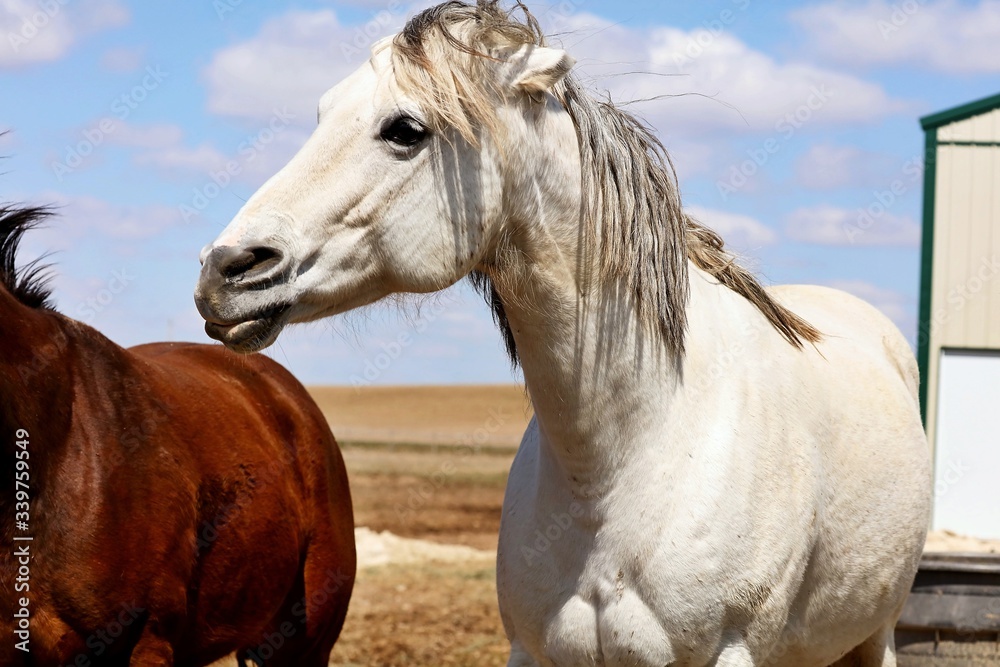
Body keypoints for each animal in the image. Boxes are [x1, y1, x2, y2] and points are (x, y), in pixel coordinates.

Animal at [193, 2, 931, 664]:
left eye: (404, 129)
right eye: (323, 114)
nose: (225, 270)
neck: (622, 458)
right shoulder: (533, 650)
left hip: (876, 636)